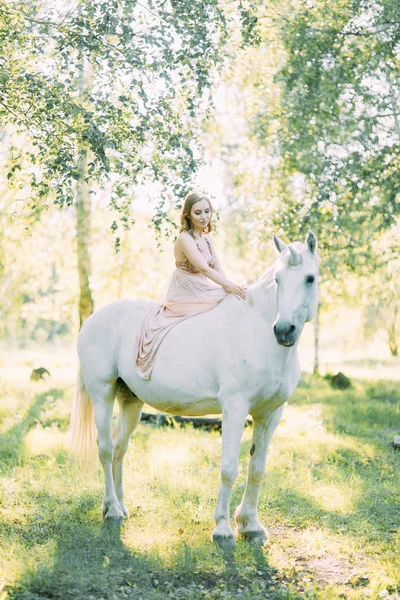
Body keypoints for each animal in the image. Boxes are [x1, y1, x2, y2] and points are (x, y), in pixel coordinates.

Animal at [69, 231, 318, 548]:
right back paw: (112, 510)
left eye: (310, 278)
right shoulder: (235, 409)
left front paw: (251, 526)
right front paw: (223, 529)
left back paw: (118, 506)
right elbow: (229, 468)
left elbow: (257, 469)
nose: (284, 330)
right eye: (278, 279)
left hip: (131, 402)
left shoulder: (270, 415)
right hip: (102, 393)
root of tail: (92, 320)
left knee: (119, 448)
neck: (256, 331)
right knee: (104, 448)